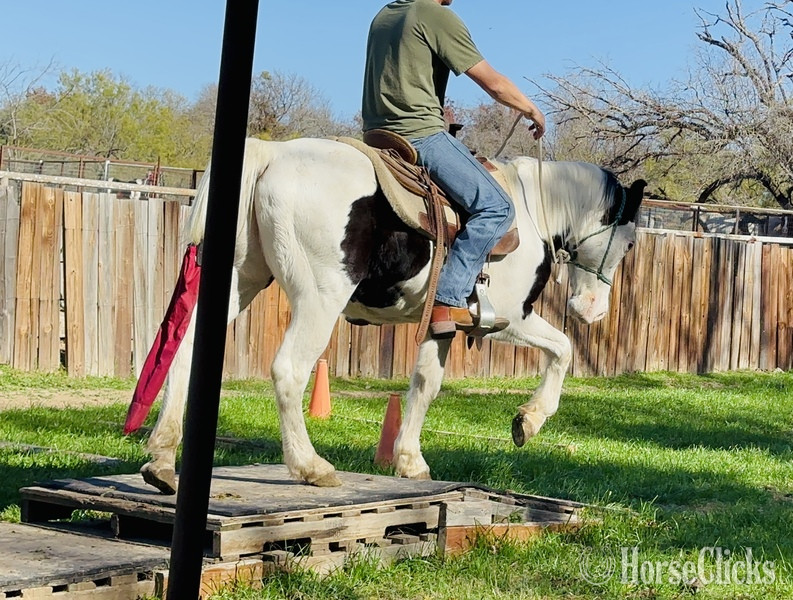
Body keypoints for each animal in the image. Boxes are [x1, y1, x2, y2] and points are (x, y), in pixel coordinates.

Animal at [137, 136, 645, 493]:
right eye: (629, 243)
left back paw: (161, 458)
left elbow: (424, 385)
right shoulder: (511, 318)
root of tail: (273, 155)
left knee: (183, 352)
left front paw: (410, 461)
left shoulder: (442, 325)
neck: (535, 207)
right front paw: (529, 420)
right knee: (288, 371)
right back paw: (310, 466)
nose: (592, 310)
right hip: (320, 298)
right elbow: (564, 349)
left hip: (241, 280)